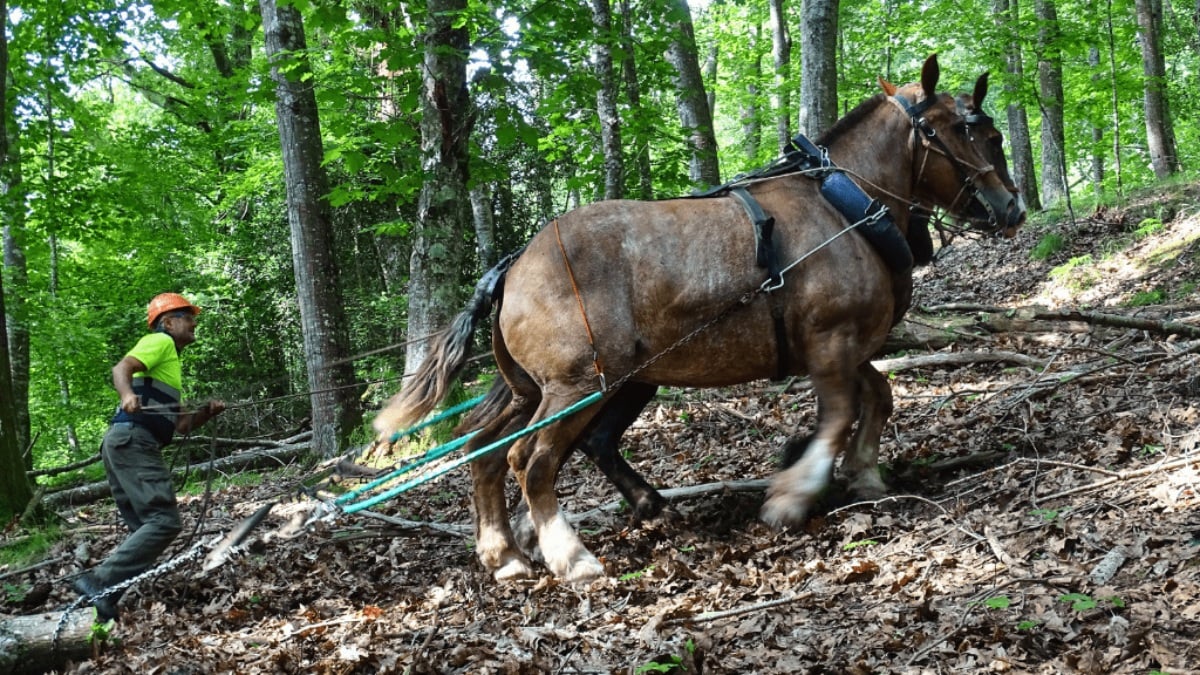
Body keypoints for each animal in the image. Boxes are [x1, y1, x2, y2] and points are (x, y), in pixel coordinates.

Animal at [374, 55, 1022, 581]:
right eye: (975, 131)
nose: (1010, 208)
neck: (842, 207)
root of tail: (514, 265)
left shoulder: (845, 344)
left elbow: (878, 397)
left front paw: (864, 472)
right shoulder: (831, 341)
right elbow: (839, 415)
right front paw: (792, 495)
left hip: (546, 388)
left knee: (486, 449)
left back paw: (504, 552)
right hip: (578, 386)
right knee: (530, 461)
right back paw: (569, 554)